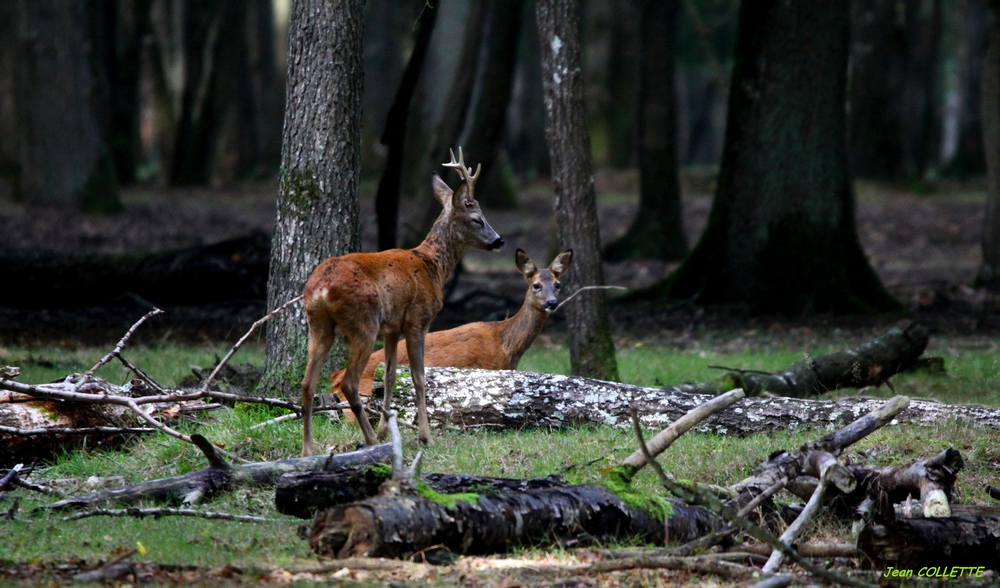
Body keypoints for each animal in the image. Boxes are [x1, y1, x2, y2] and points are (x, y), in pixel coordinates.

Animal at [296, 148, 500, 454]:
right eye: (477, 218)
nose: (498, 240)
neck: (433, 266)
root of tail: (319, 289)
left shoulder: (391, 328)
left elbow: (390, 376)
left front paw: (385, 429)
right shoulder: (418, 320)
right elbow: (419, 378)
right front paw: (424, 436)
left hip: (319, 325)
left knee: (307, 383)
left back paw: (308, 449)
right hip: (363, 323)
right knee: (349, 383)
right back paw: (368, 440)